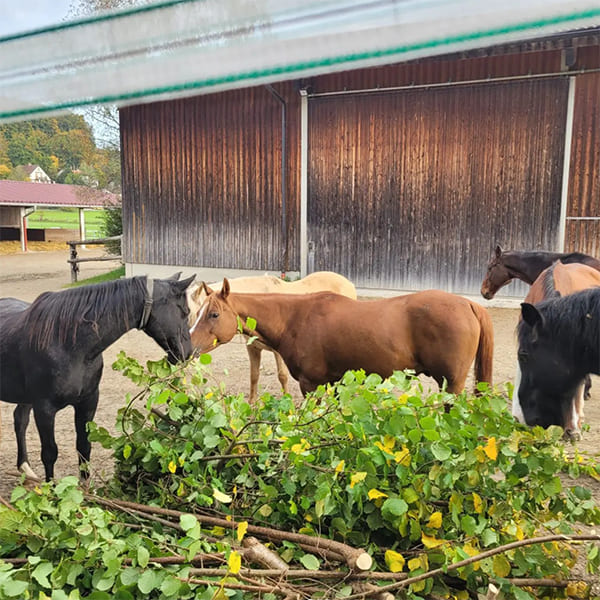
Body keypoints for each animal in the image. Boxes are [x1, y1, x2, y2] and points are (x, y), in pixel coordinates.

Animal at [0, 274, 195, 480]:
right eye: (185, 311)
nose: (188, 352)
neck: (67, 342)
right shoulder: (44, 409)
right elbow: (50, 453)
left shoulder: (88, 402)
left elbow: (84, 447)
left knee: (20, 420)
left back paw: (25, 467)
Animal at [191, 278, 492, 396]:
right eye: (198, 312)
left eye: (213, 314)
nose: (189, 344)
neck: (294, 317)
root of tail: (468, 304)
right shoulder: (333, 383)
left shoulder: (311, 385)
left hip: (451, 385)